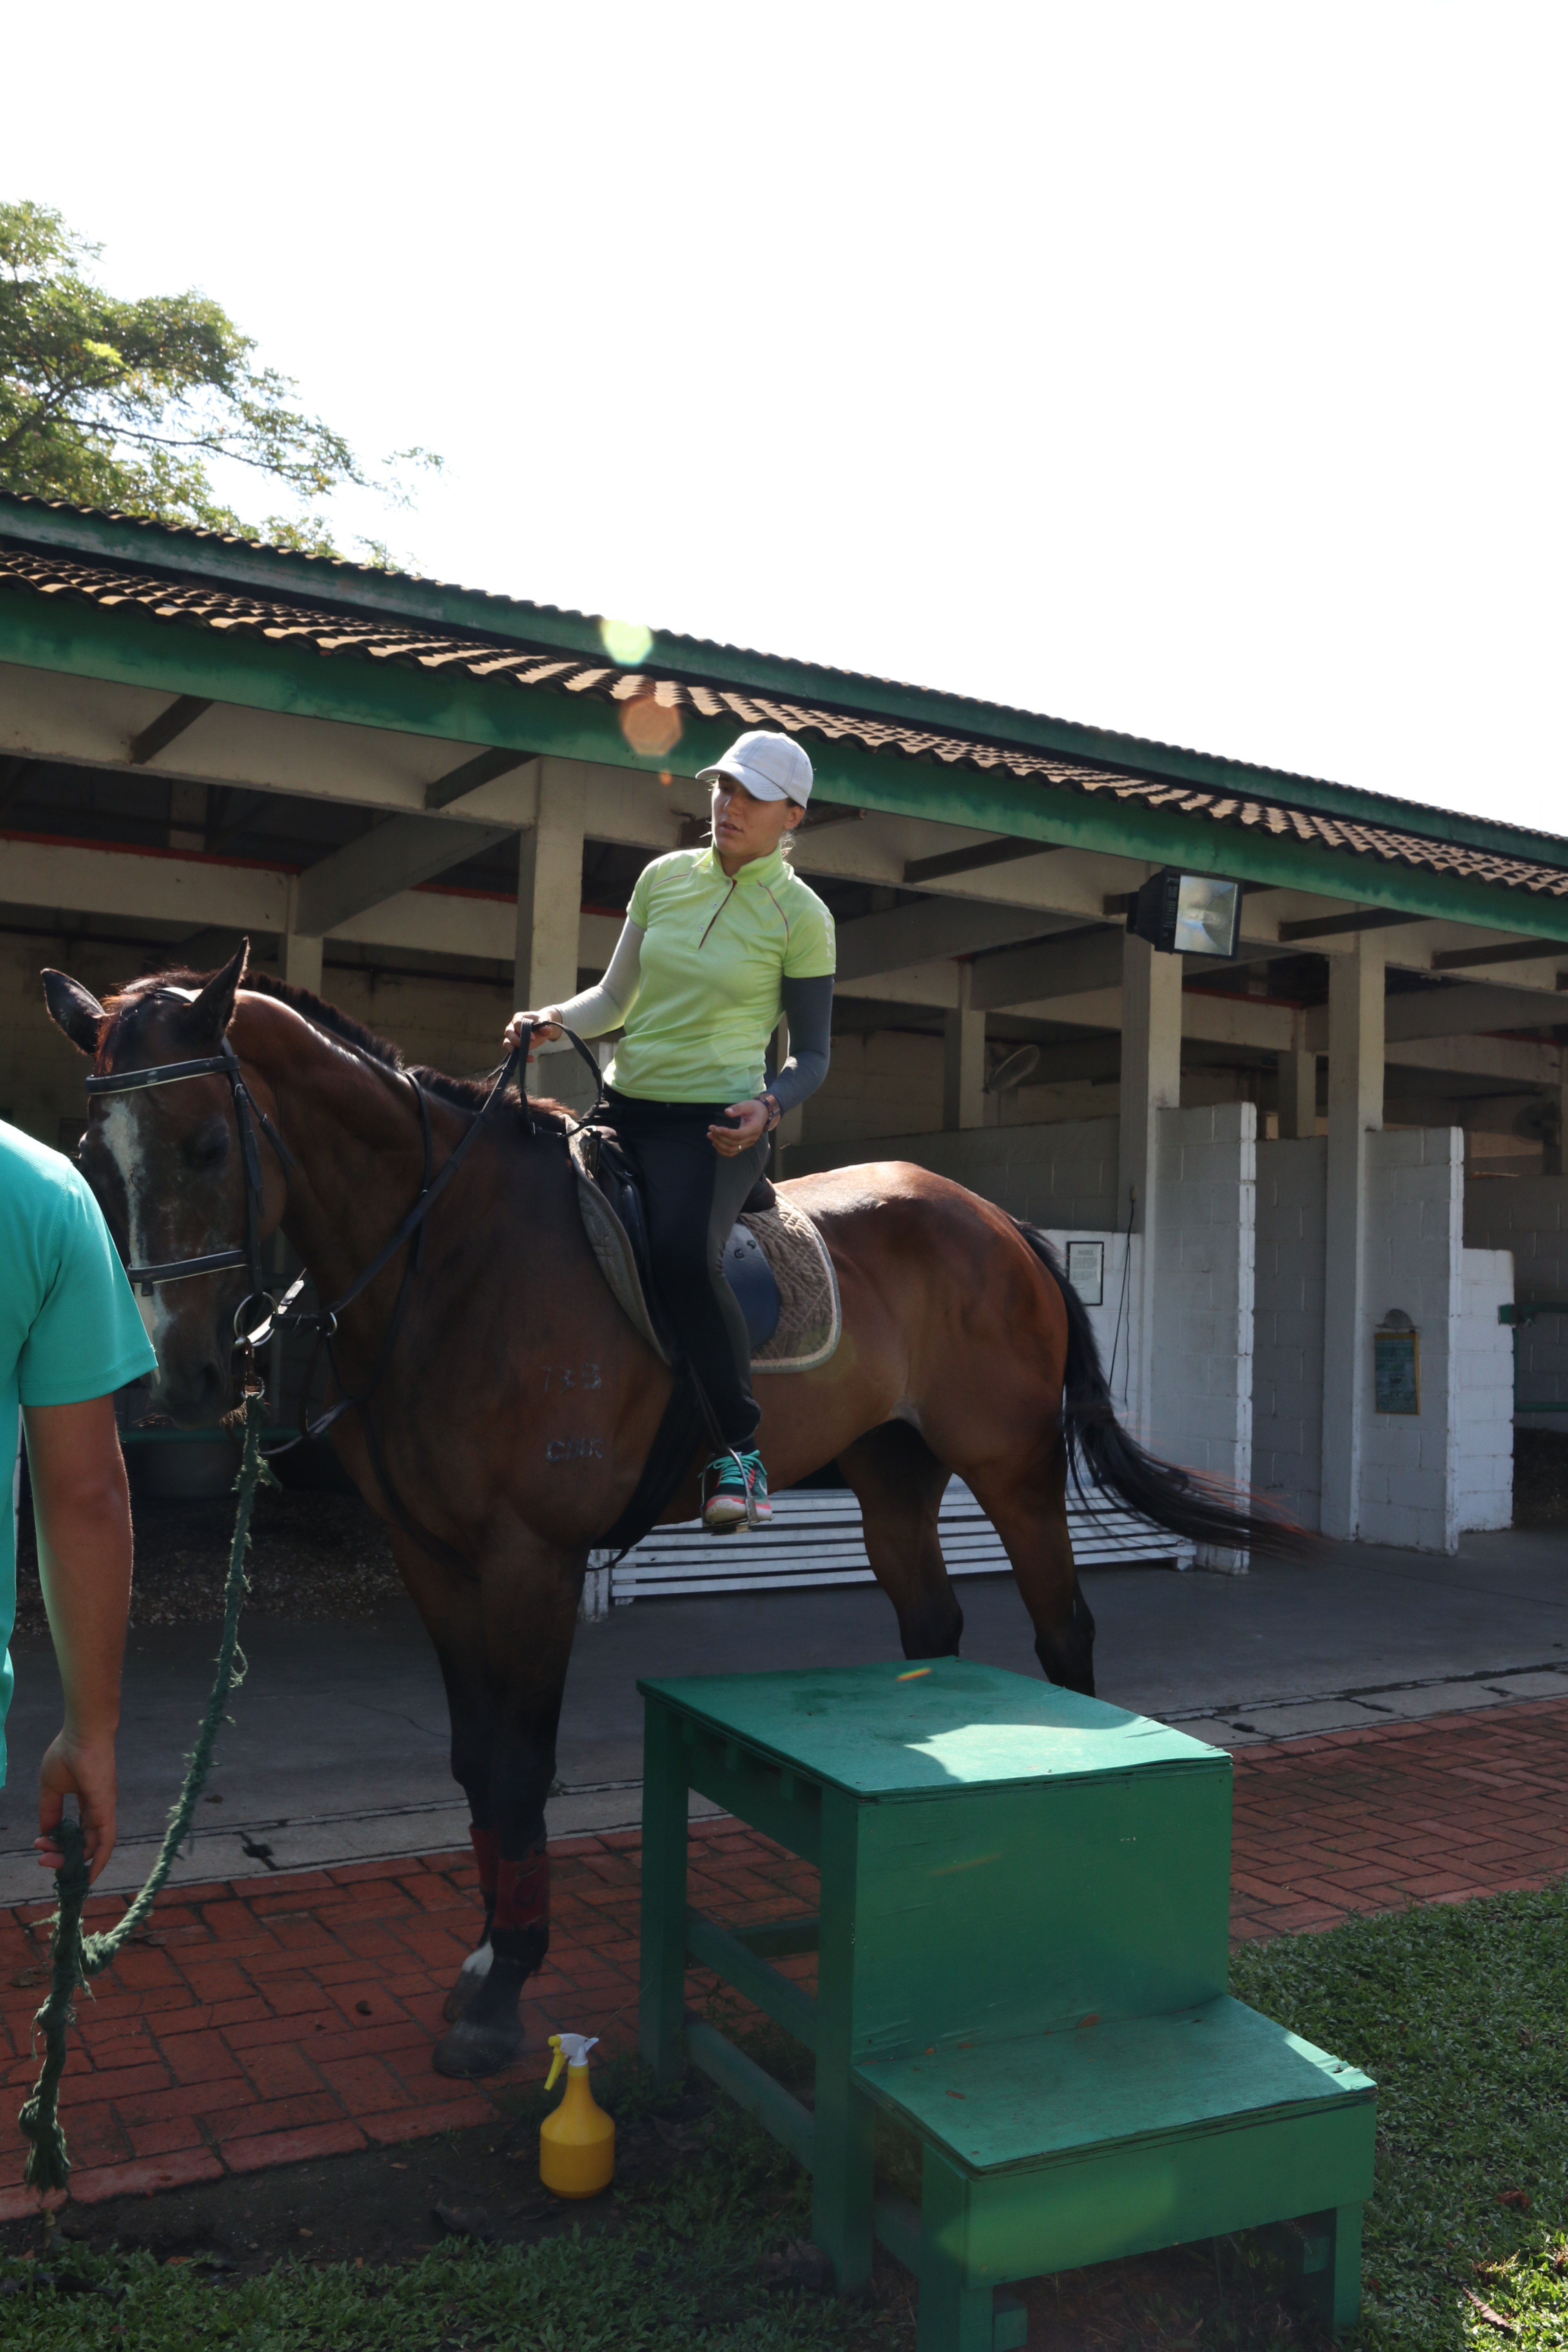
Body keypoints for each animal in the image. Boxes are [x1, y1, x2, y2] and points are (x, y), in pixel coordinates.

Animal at [41, 943, 1297, 2079]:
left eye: (209, 1144)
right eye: (94, 1158)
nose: (178, 1380)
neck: (449, 1257)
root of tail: (997, 1221)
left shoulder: (530, 1557)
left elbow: (519, 1763)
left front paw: (503, 1992)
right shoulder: (430, 1555)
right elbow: (472, 1760)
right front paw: (488, 1954)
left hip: (1013, 1469)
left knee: (1063, 1633)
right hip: (892, 1482)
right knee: (934, 1635)